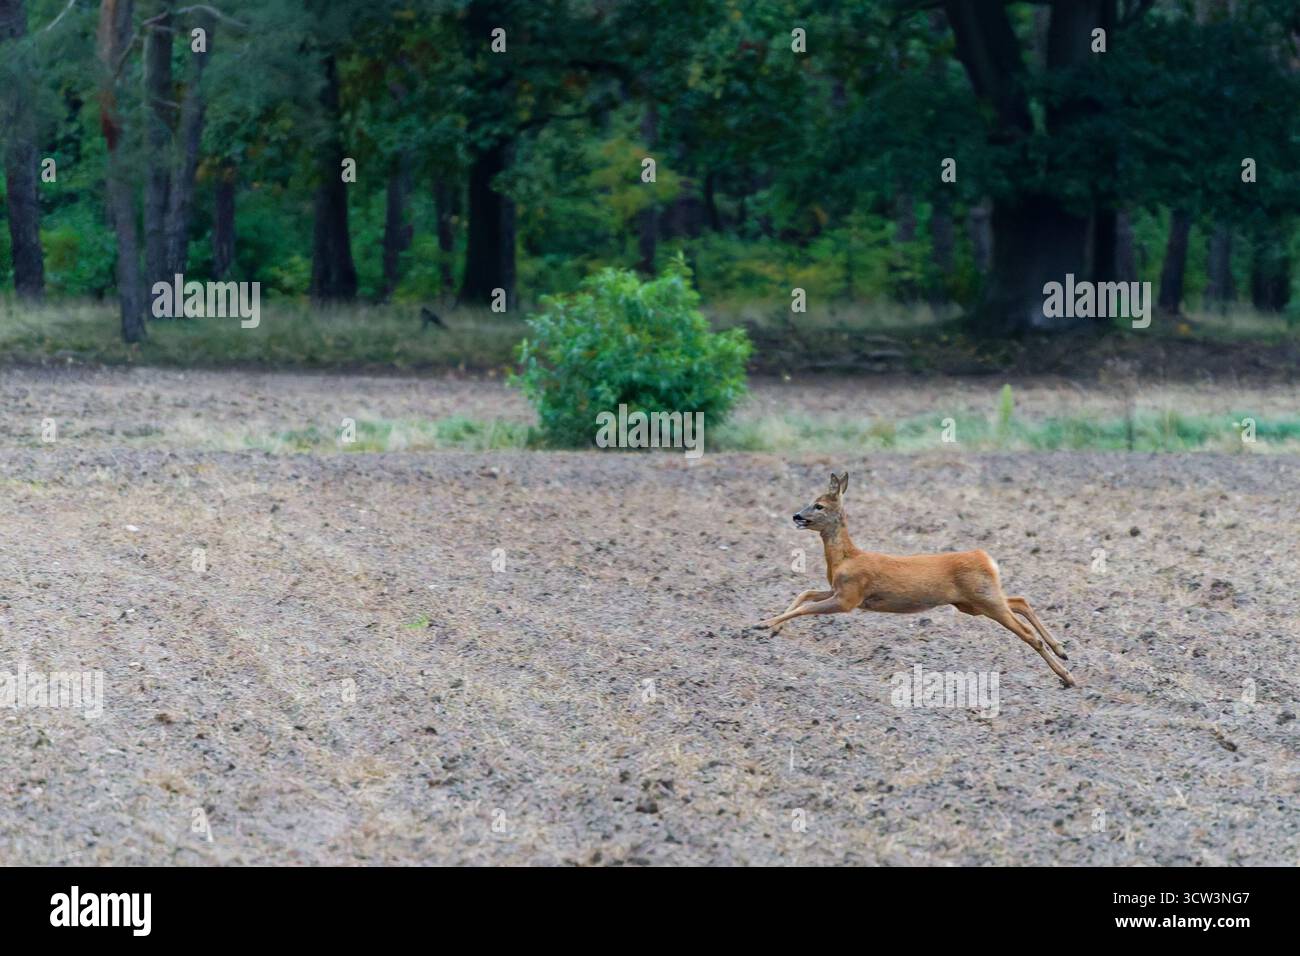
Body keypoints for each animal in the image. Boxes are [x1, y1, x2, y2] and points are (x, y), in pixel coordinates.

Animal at [754, 472, 1076, 687]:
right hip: (973, 602)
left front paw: (763, 624)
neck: (846, 558)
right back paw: (1062, 651)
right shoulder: (840, 591)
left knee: (1028, 633)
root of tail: (986, 558)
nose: (796, 516)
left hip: (983, 599)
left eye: (819, 505)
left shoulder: (849, 598)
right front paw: (773, 628)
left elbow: (807, 605)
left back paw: (1067, 677)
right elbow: (806, 593)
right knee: (1019, 600)